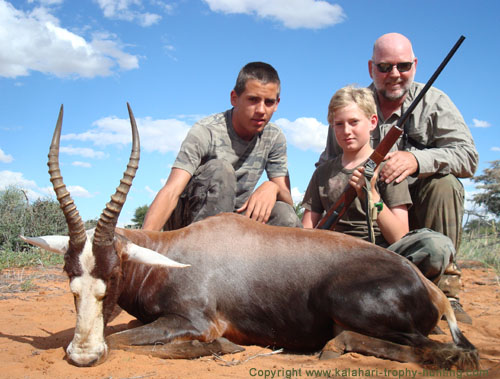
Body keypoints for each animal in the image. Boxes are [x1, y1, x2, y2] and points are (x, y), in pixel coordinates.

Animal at [21, 104, 478, 372]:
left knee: (448, 352)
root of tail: (429, 290)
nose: (83, 355)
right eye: (69, 277)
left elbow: (122, 340)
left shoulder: (194, 322)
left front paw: (222, 349)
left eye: (113, 274)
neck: (176, 253)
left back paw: (335, 346)